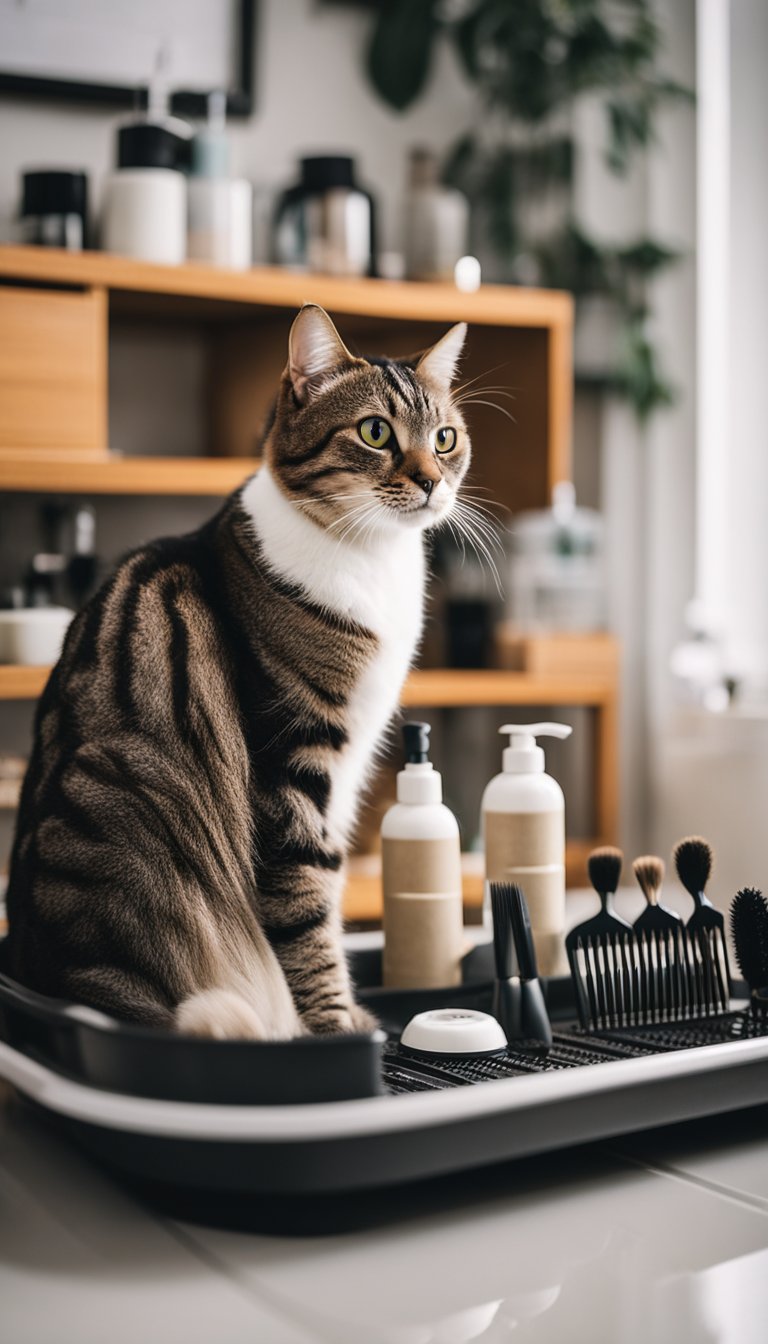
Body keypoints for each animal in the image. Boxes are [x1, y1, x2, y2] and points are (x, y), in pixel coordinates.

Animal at [6, 305, 470, 1037]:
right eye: (375, 432)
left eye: (446, 439)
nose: (432, 481)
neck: (371, 559)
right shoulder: (289, 763)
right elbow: (307, 908)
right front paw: (335, 1030)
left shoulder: (344, 774)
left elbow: (328, 890)